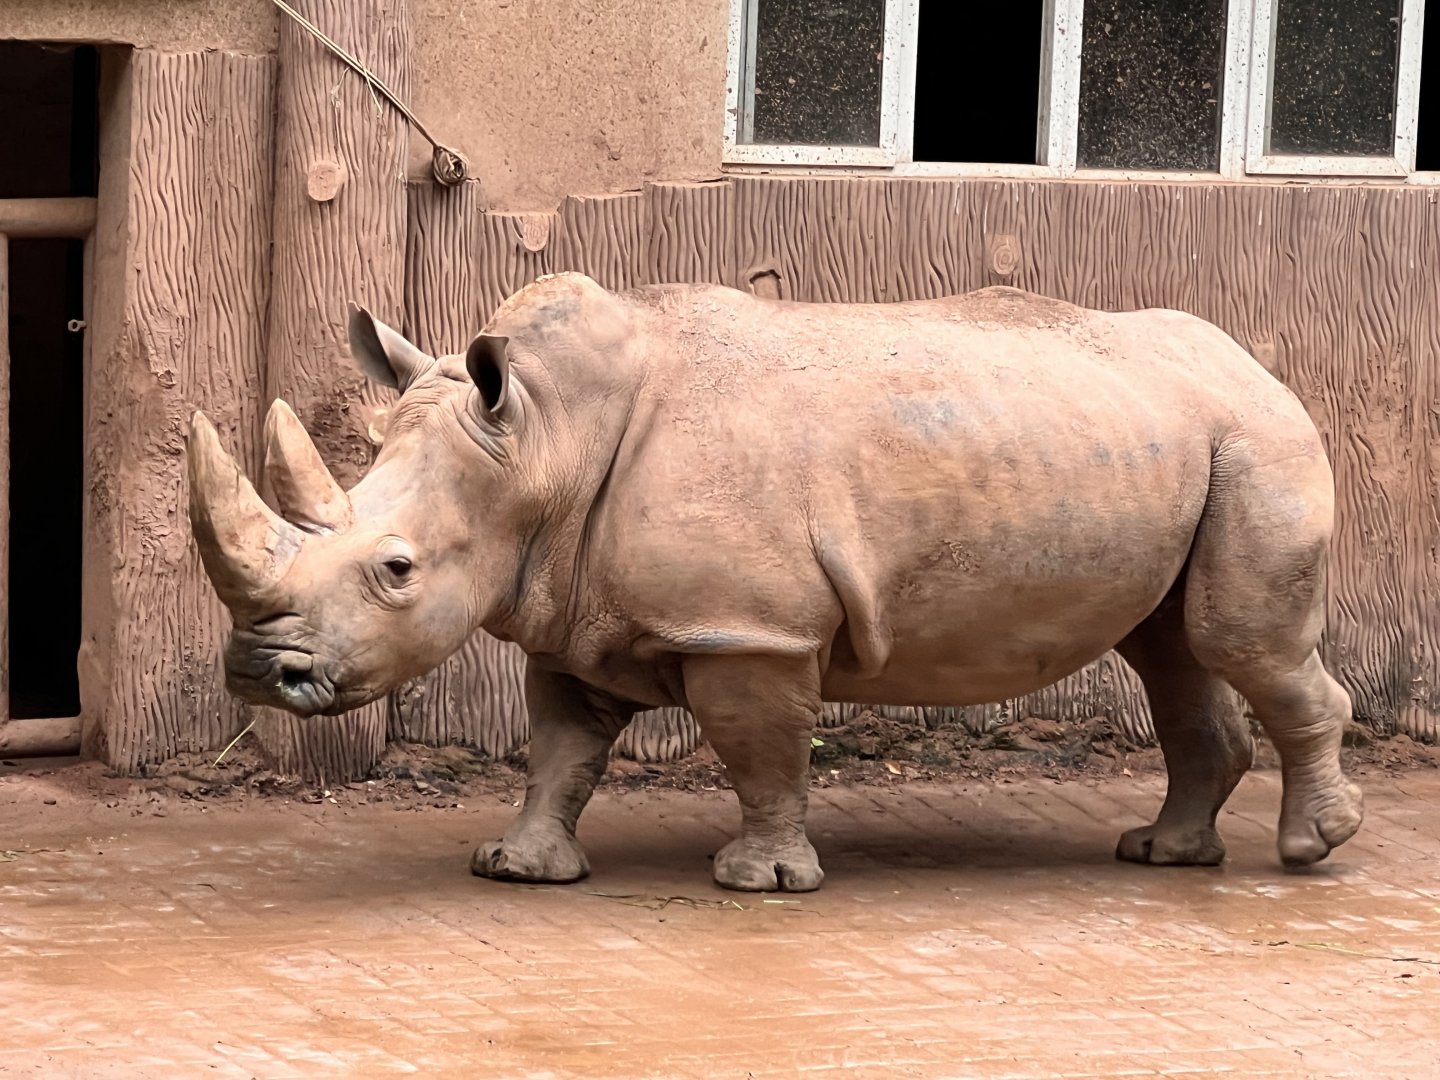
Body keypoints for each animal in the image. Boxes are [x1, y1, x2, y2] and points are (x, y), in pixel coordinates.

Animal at [188, 273, 1363, 892]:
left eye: (395, 570)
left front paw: (759, 882)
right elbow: (560, 749)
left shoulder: (748, 628)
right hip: (1173, 439)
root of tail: (1259, 364)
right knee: (1170, 649)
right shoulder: (569, 608)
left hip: (1258, 441)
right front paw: (518, 868)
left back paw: (1311, 852)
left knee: (1238, 642)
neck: (541, 445)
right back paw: (1164, 857)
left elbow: (759, 748)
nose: (254, 672)